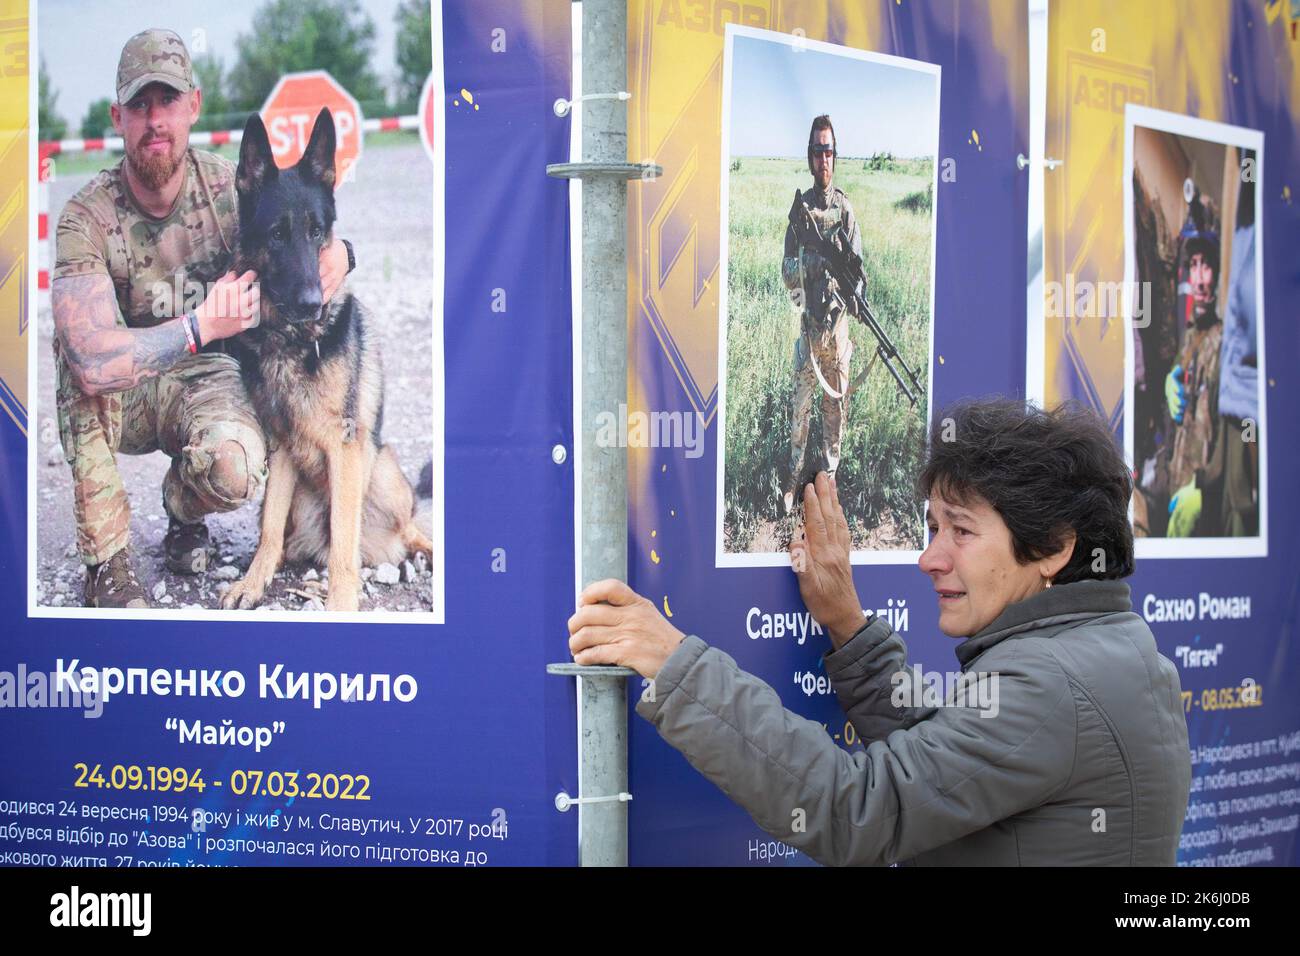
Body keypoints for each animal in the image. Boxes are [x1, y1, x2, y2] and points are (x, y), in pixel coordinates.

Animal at [220, 106, 428, 613]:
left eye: (317, 232)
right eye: (277, 235)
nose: (313, 303)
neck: (291, 340)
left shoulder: (345, 448)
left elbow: (342, 546)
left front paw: (341, 605)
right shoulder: (280, 450)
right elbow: (270, 531)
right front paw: (253, 584)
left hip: (382, 472)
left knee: (407, 531)